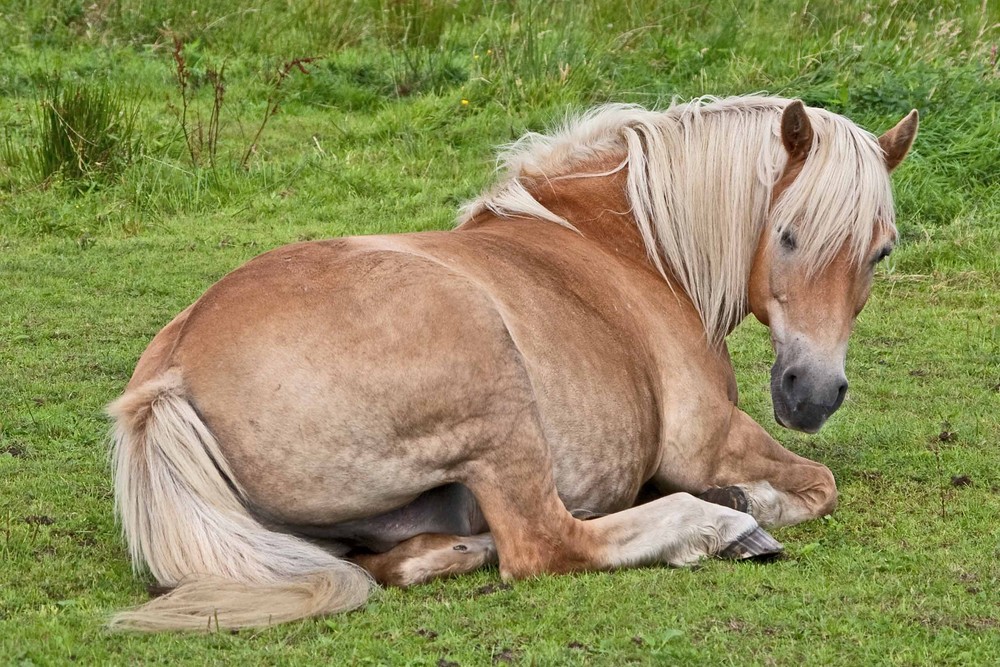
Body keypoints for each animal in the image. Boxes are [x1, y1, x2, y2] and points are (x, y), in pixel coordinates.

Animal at [107, 95, 916, 632]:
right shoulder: (707, 438)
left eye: (880, 251)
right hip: (501, 405)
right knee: (543, 542)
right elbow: (820, 484)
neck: (632, 251)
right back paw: (716, 527)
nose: (814, 393)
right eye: (788, 234)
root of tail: (171, 375)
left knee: (402, 560)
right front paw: (746, 502)